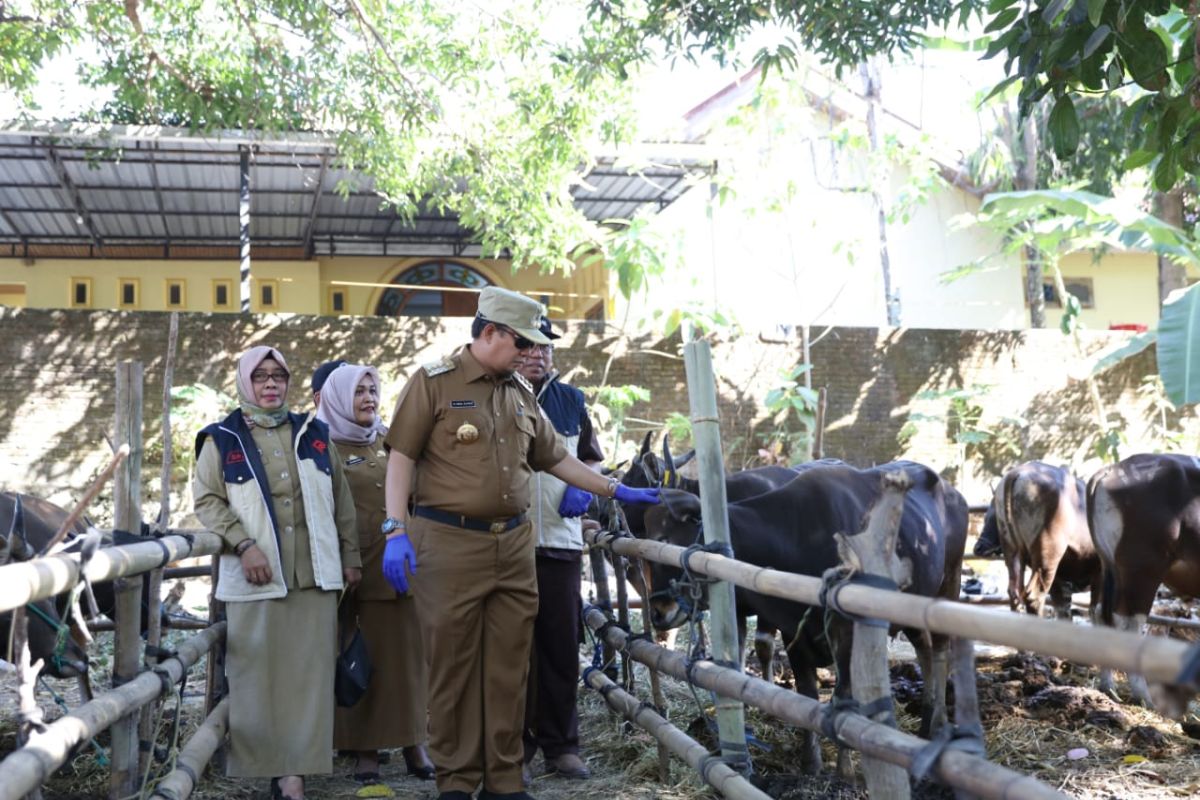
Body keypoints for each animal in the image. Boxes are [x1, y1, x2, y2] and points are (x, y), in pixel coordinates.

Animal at [979, 462, 1099, 618]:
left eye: (991, 518)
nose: (978, 547)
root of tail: (1016, 473)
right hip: (1047, 557)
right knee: (1033, 596)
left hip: (1014, 553)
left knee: (1015, 593)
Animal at [1089, 453, 1200, 710]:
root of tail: (1110, 471)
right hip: (1142, 569)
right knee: (1127, 623)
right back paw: (1144, 696)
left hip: (1109, 567)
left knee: (1101, 614)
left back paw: (1108, 686)